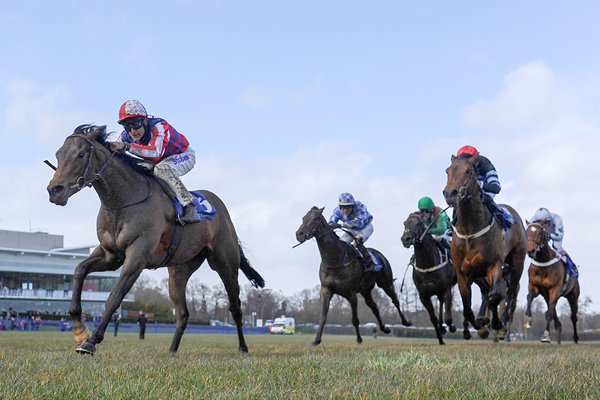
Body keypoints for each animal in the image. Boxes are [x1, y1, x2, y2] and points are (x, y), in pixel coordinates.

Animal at [47, 123, 262, 354]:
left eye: (80, 154)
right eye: (58, 154)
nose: (54, 190)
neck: (124, 200)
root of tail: (222, 209)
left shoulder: (137, 256)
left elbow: (114, 297)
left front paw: (91, 341)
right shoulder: (110, 255)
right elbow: (79, 271)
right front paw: (80, 331)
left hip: (225, 264)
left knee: (235, 307)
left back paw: (243, 348)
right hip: (179, 270)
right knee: (183, 313)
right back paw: (172, 351)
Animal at [296, 206, 412, 344]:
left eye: (315, 218)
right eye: (303, 217)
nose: (299, 234)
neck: (335, 259)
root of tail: (380, 255)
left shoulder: (351, 293)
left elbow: (355, 319)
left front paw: (359, 339)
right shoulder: (326, 290)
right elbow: (323, 317)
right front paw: (316, 340)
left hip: (386, 283)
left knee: (395, 300)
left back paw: (406, 322)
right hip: (365, 290)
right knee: (374, 307)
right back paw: (385, 329)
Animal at [400, 211, 458, 346]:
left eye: (418, 223)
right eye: (405, 223)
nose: (405, 239)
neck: (428, 263)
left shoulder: (446, 289)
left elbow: (448, 317)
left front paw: (452, 327)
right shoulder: (424, 295)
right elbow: (433, 318)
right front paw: (440, 338)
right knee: (441, 304)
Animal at [440, 155, 524, 340]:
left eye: (468, 171)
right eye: (447, 171)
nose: (450, 193)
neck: (471, 231)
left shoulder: (494, 265)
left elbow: (496, 295)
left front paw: (495, 323)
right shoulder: (462, 273)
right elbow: (467, 307)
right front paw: (480, 323)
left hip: (517, 263)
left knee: (510, 293)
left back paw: (502, 320)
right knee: (487, 292)